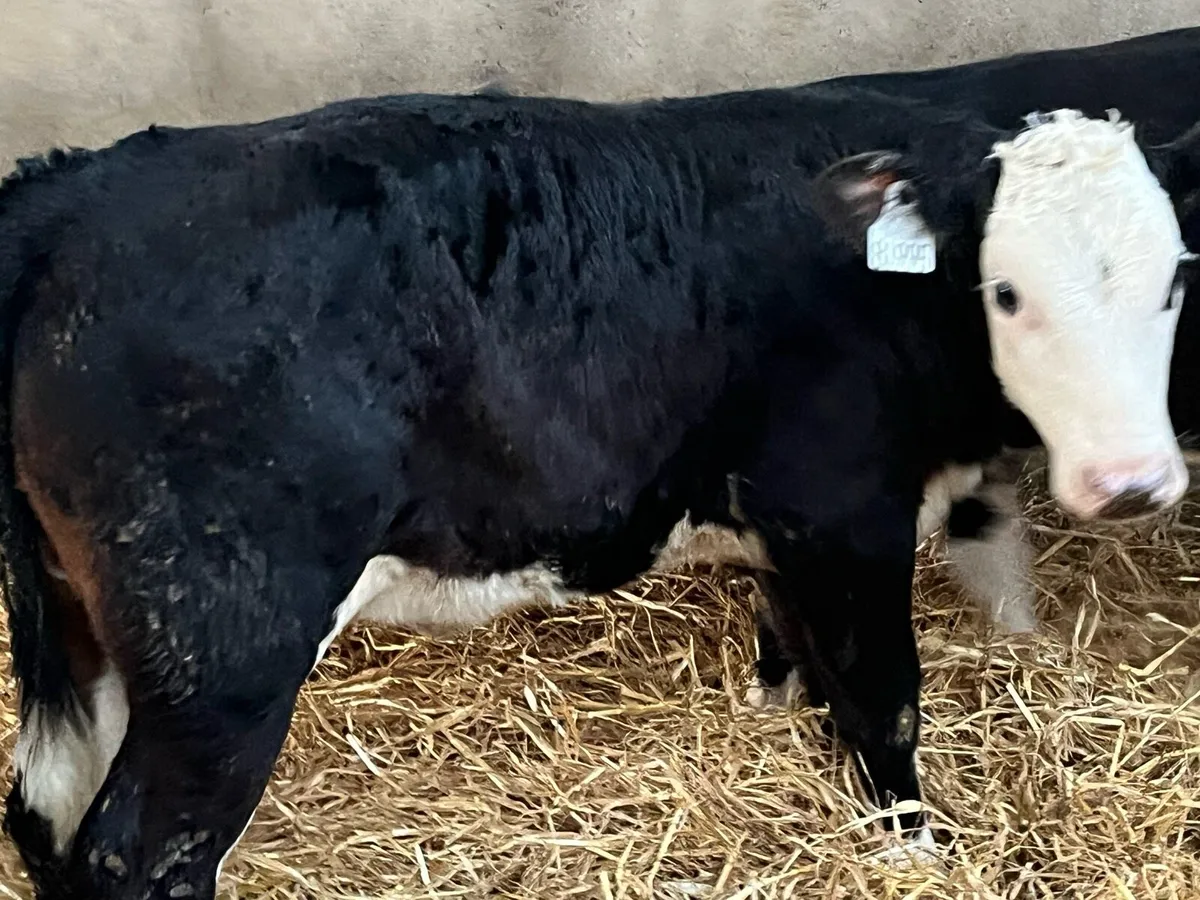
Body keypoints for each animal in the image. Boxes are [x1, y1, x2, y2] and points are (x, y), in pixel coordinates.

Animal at [0, 84, 1194, 898]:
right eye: (1007, 290)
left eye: (1176, 278)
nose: (1132, 482)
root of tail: (70, 189)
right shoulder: (843, 514)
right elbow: (883, 699)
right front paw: (914, 847)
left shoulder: (781, 528)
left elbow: (790, 651)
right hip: (220, 651)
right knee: (137, 854)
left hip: (88, 620)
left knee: (46, 815)